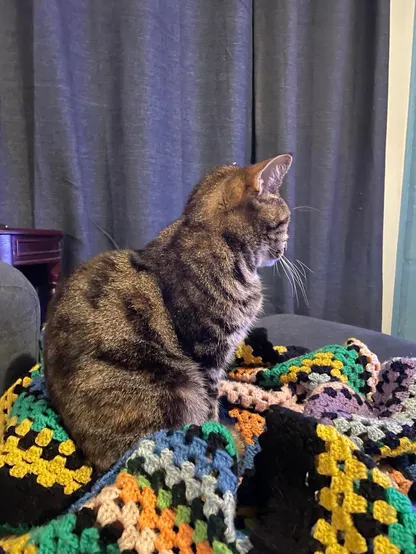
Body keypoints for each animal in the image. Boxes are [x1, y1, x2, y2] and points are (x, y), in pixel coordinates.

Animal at [44, 153, 292, 468]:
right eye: (285, 222)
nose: (284, 249)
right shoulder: (207, 356)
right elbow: (210, 407)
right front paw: (220, 434)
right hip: (176, 389)